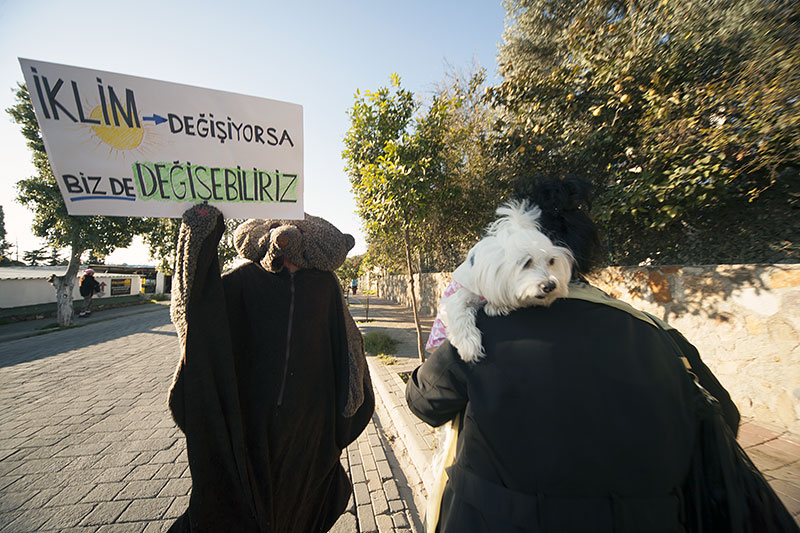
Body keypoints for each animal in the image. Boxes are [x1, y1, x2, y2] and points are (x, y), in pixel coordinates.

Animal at [438, 197, 576, 364]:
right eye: (526, 262)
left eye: (551, 261)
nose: (550, 285)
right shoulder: (459, 295)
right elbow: (458, 313)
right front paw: (468, 346)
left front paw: (498, 306)